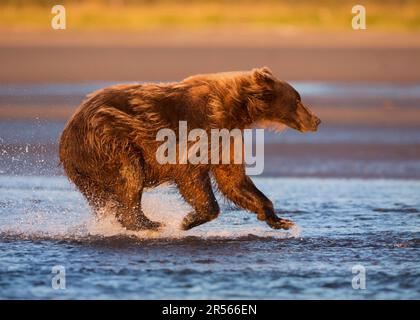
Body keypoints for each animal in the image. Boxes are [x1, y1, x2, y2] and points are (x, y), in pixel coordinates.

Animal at [59, 67, 320, 231]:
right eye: (297, 99)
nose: (316, 120)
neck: (237, 109)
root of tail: (65, 134)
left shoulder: (227, 137)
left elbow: (233, 179)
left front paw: (280, 220)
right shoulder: (199, 129)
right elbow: (191, 173)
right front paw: (187, 221)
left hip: (87, 168)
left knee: (104, 196)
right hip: (108, 139)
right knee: (130, 175)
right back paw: (149, 223)